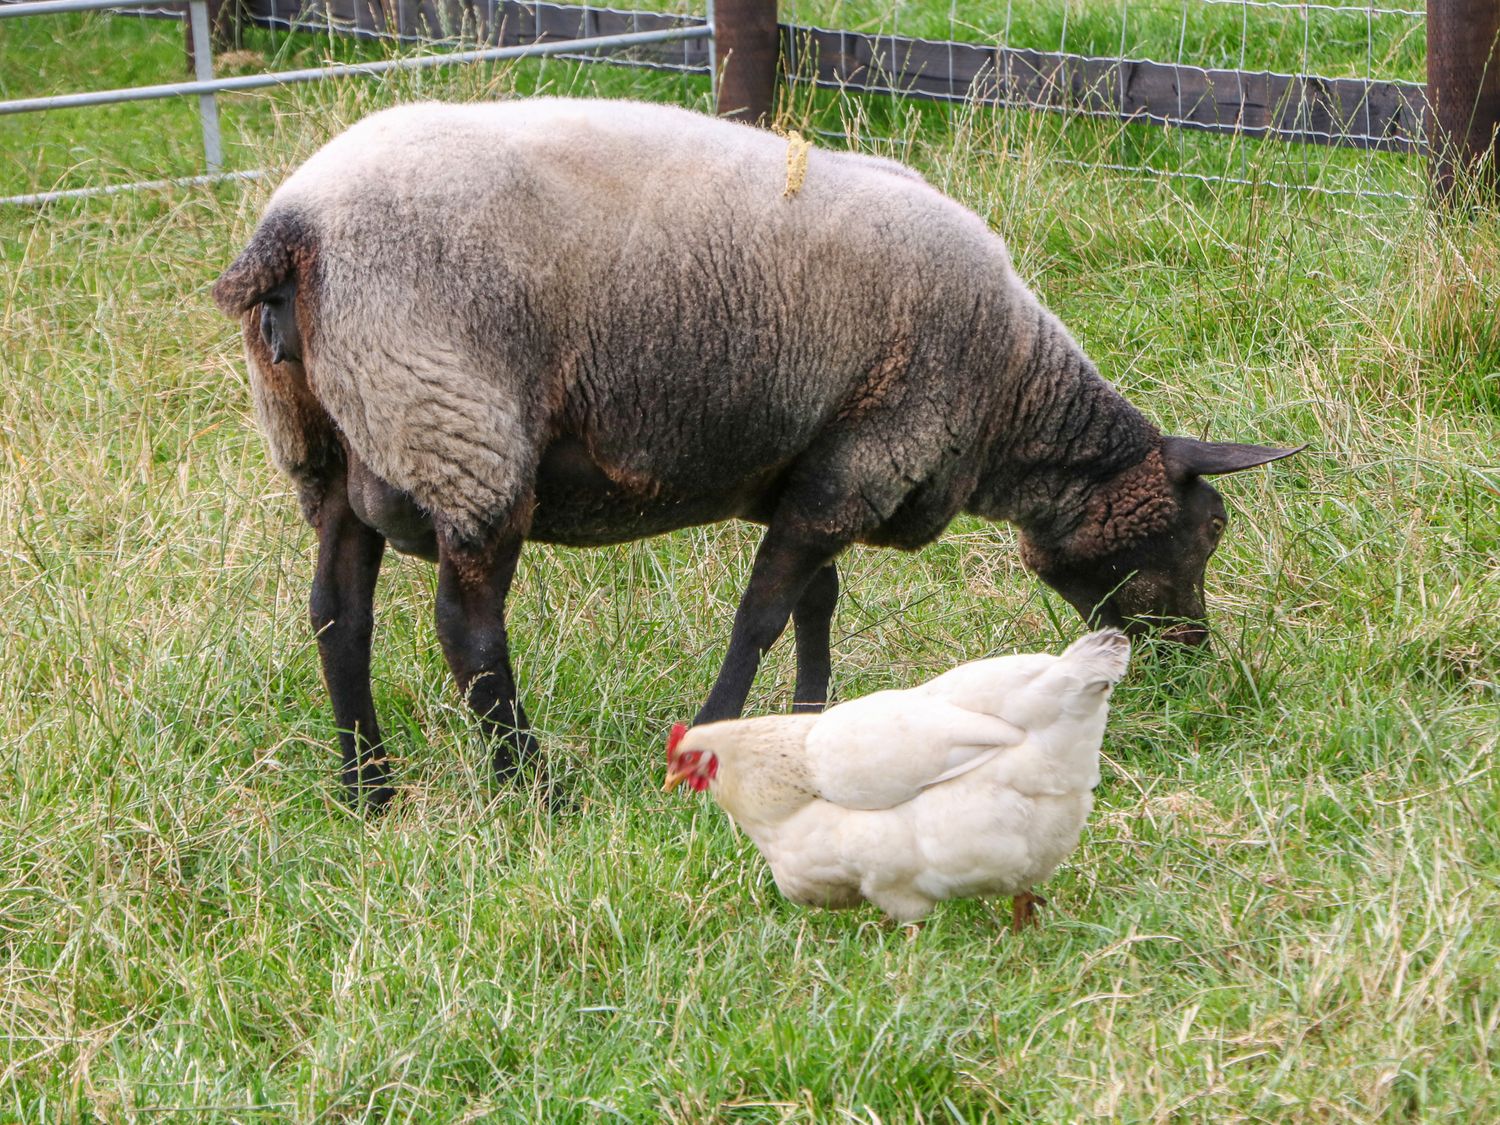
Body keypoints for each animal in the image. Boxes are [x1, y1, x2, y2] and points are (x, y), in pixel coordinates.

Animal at [211, 92, 1302, 804]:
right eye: (1208, 533)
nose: (1189, 664)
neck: (1009, 396)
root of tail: (296, 228)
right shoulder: (864, 458)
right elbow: (763, 615)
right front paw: (715, 734)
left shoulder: (821, 465)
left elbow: (816, 602)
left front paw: (812, 716)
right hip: (456, 424)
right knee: (467, 633)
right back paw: (531, 788)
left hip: (332, 442)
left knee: (337, 616)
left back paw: (367, 785)